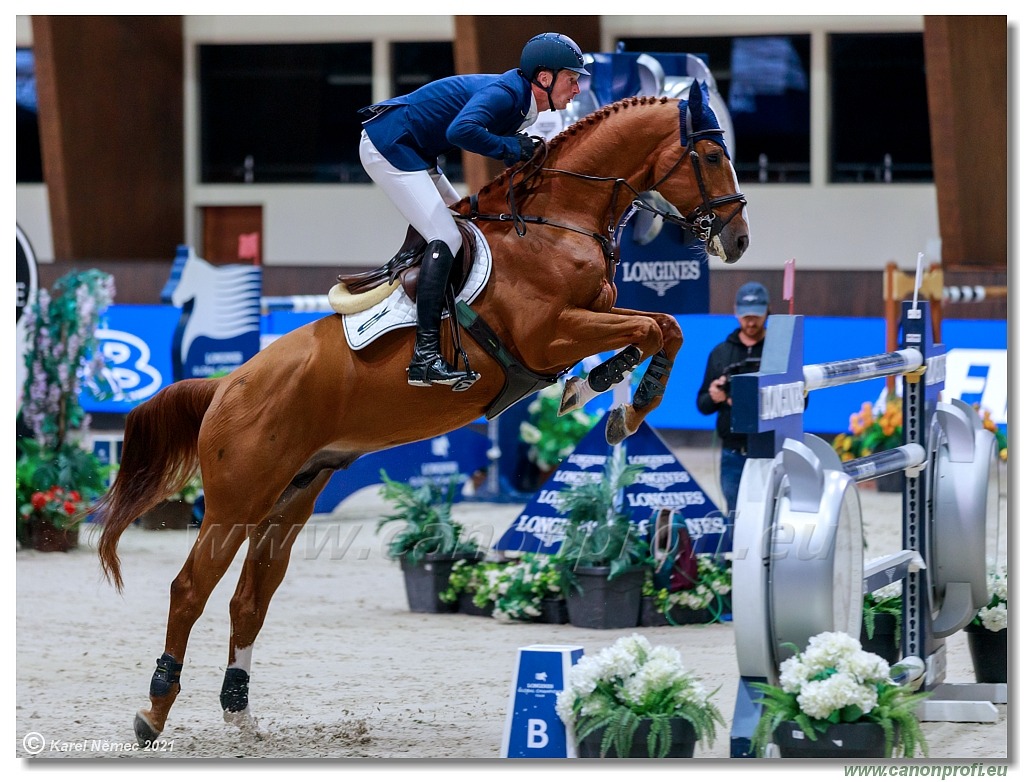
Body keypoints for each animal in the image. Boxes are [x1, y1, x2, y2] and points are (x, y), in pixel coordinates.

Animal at [97, 82, 745, 741]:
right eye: (712, 156)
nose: (738, 239)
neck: (555, 223)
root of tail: (228, 384)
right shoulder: (549, 335)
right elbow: (654, 327)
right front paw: (611, 398)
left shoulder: (593, 317)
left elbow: (663, 326)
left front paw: (611, 399)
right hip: (236, 502)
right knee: (189, 589)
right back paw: (153, 710)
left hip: (290, 499)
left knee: (249, 598)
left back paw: (239, 711)